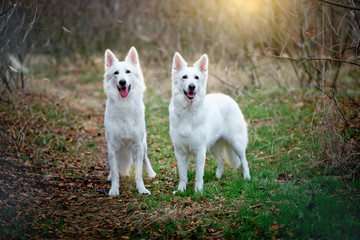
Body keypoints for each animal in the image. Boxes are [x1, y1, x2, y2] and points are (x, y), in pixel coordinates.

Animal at [102, 46, 156, 195]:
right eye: (116, 73)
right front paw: (114, 189)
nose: (122, 82)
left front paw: (142, 189)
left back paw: (152, 173)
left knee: (146, 159)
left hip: (143, 145)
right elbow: (115, 172)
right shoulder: (113, 146)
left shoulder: (137, 145)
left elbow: (138, 173)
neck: (124, 104)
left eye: (128, 72)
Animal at [169, 52, 250, 193]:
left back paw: (247, 178)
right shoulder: (180, 152)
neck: (187, 112)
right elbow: (183, 174)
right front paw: (181, 190)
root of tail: (228, 98)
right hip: (214, 147)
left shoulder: (199, 151)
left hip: (236, 143)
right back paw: (218, 177)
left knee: (244, 161)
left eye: (196, 77)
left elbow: (198, 174)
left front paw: (198, 191)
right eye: (184, 77)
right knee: (221, 161)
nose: (192, 86)